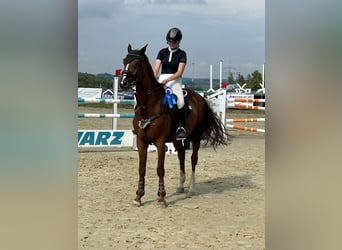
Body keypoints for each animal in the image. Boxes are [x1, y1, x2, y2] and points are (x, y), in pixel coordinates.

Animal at [120, 43, 227, 207]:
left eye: (137, 64)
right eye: (124, 61)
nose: (123, 83)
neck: (148, 105)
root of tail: (200, 99)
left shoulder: (159, 142)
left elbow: (160, 169)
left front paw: (161, 198)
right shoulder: (141, 141)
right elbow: (142, 169)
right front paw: (138, 197)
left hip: (195, 137)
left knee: (193, 159)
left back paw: (191, 189)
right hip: (176, 139)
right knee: (181, 155)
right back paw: (180, 185)